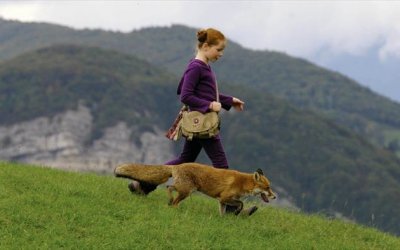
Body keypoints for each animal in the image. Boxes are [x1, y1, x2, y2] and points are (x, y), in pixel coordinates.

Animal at [113, 162, 276, 215]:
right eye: (268, 187)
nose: (275, 196)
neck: (243, 183)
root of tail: (177, 165)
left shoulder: (222, 201)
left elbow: (222, 213)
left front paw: (224, 221)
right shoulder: (225, 197)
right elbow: (240, 203)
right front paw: (236, 212)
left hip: (184, 189)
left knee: (169, 187)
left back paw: (169, 200)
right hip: (186, 191)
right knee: (174, 199)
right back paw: (174, 208)